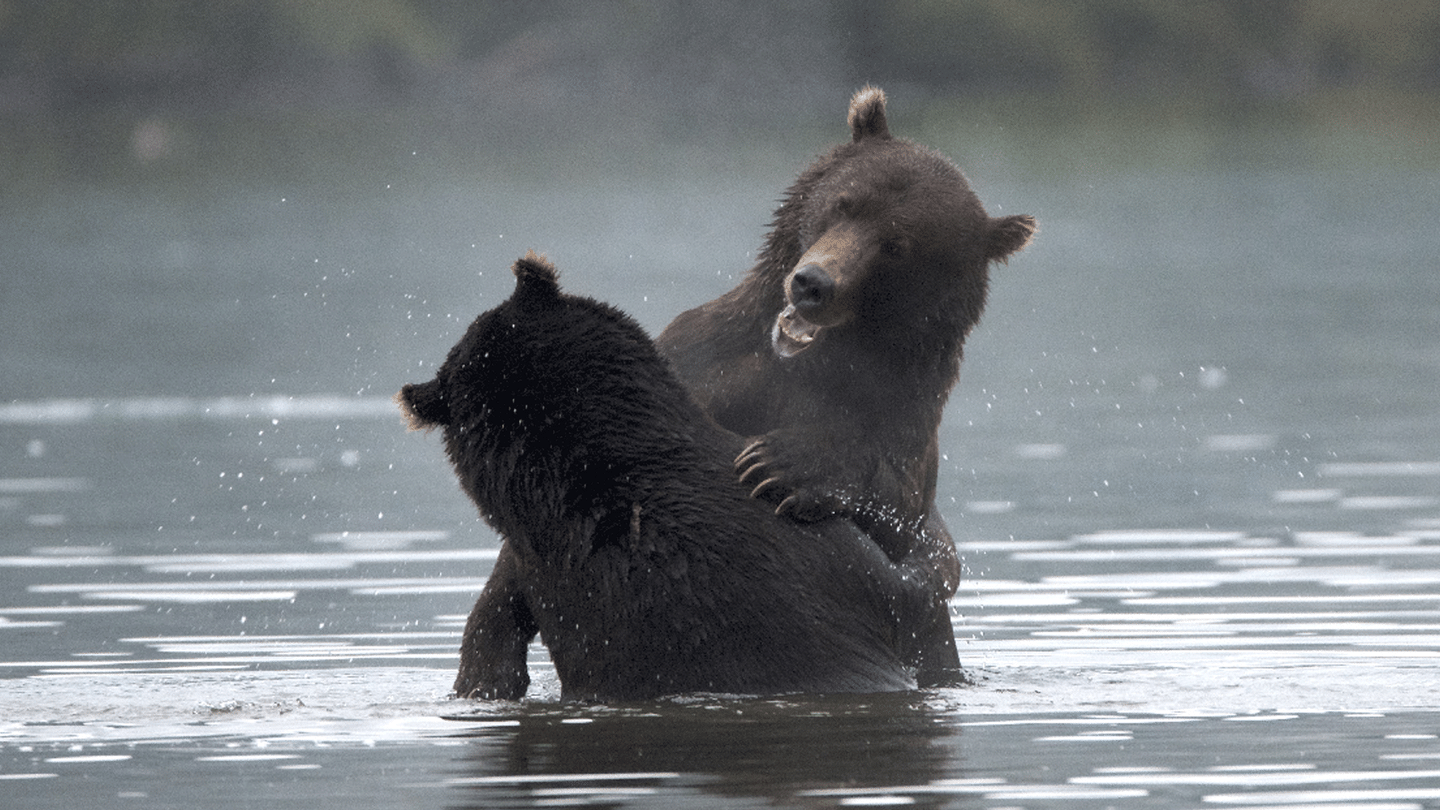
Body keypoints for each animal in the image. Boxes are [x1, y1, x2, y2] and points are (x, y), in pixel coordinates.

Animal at [659, 86, 1042, 680]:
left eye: (898, 245)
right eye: (844, 204)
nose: (813, 283)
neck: (806, 362)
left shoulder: (900, 415)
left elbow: (891, 495)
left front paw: (781, 466)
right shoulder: (707, 361)